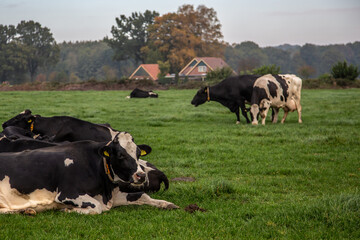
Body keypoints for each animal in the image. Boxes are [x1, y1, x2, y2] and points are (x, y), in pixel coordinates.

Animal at [0, 134, 179, 215]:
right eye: (121, 155)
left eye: (138, 154)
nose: (141, 176)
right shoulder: (67, 193)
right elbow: (96, 207)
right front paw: (69, 210)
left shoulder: (113, 196)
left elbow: (143, 196)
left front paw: (167, 204)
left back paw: (26, 211)